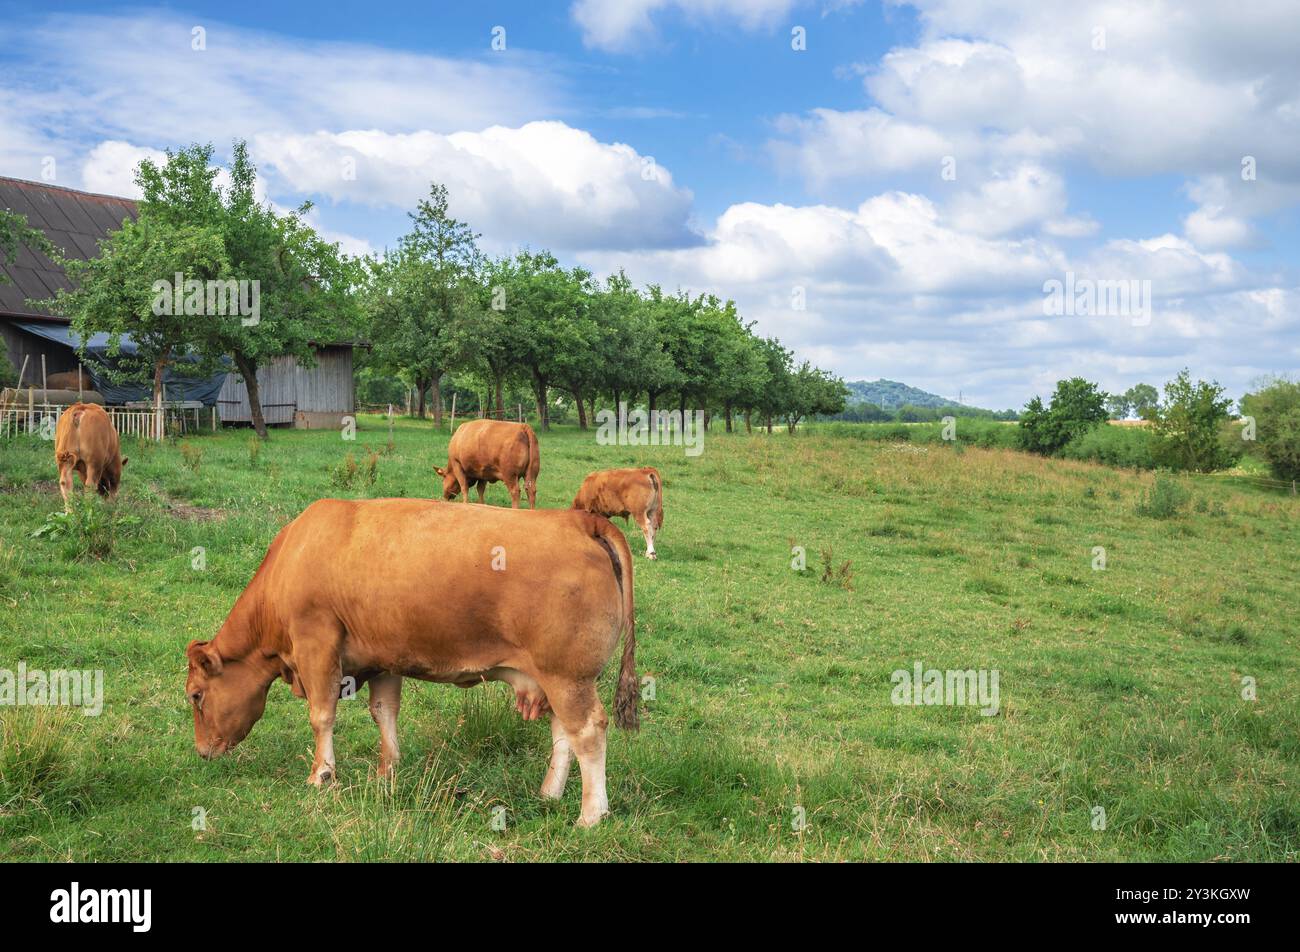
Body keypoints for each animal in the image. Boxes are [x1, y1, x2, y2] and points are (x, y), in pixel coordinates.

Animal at [184, 498, 639, 828]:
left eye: (195, 696)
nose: (202, 752)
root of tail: (578, 520)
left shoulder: (317, 644)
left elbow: (321, 715)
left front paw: (321, 774)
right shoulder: (384, 656)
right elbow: (384, 711)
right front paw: (388, 771)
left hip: (567, 675)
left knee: (588, 732)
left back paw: (590, 815)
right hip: (558, 677)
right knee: (563, 733)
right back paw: (549, 794)